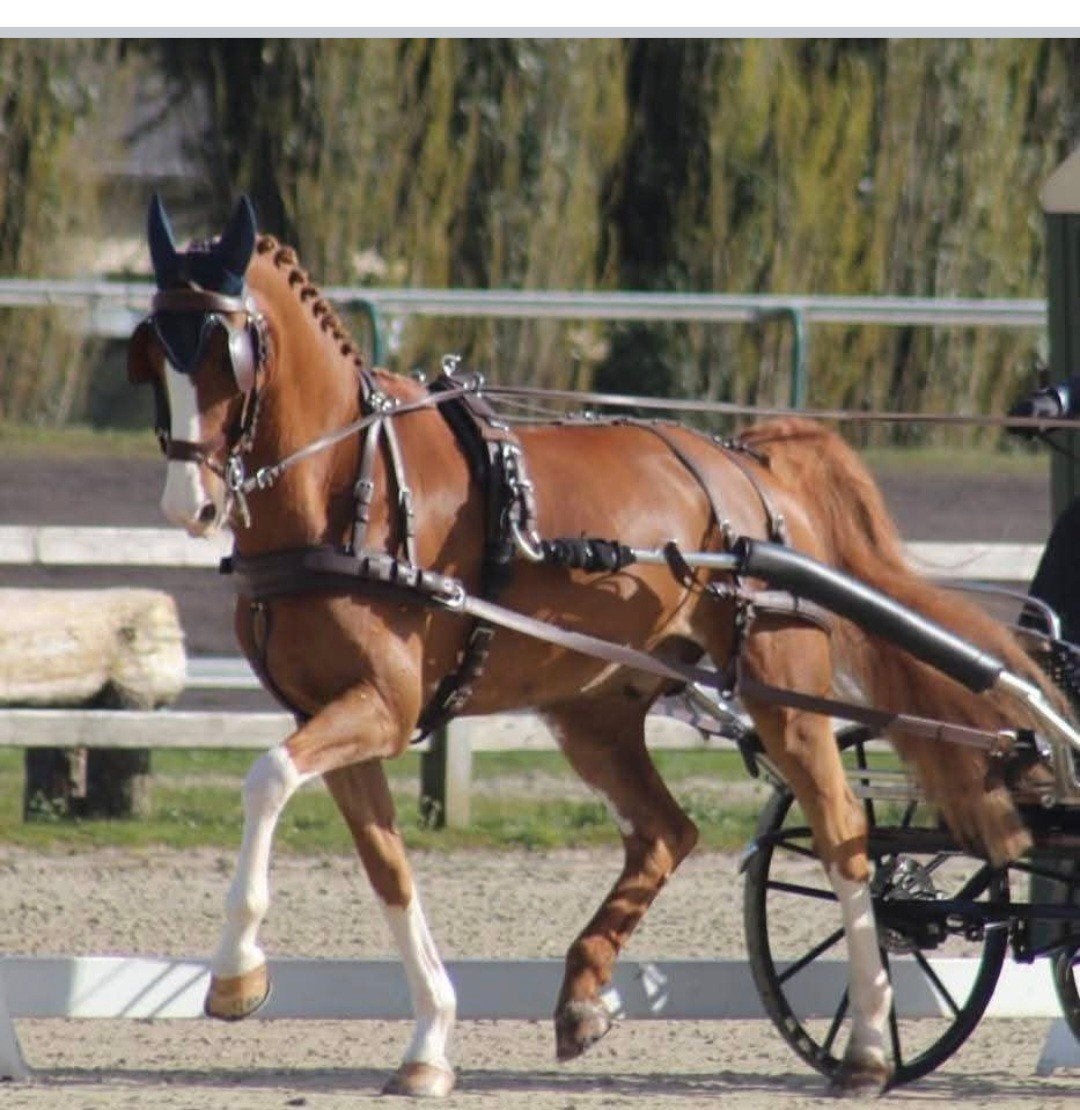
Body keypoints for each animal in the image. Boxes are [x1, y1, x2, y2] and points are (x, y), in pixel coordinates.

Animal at [127, 194, 1059, 1098]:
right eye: (153, 357)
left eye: (225, 355)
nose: (187, 505)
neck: (350, 486)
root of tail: (749, 464)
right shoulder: (335, 715)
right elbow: (386, 867)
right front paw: (428, 1043)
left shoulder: (382, 708)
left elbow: (266, 779)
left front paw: (235, 975)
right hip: (594, 711)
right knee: (666, 832)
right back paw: (584, 994)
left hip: (778, 690)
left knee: (842, 835)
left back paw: (866, 1045)